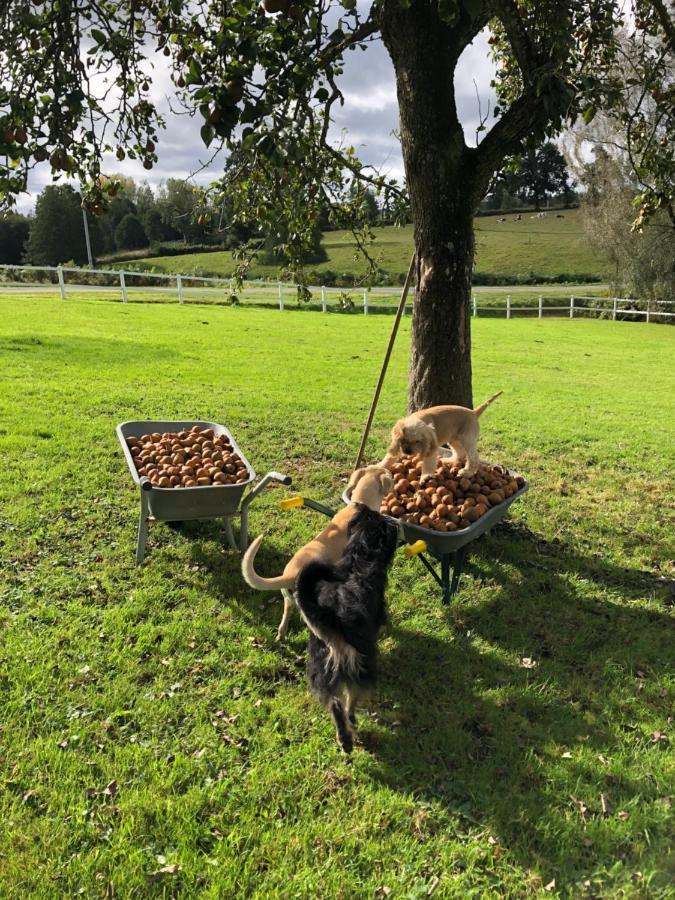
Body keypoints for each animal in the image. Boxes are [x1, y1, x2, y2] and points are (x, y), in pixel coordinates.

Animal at [298, 506, 402, 752]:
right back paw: (351, 726)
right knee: (349, 702)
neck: (359, 557)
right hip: (360, 668)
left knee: (334, 703)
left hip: (321, 669)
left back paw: (344, 738)